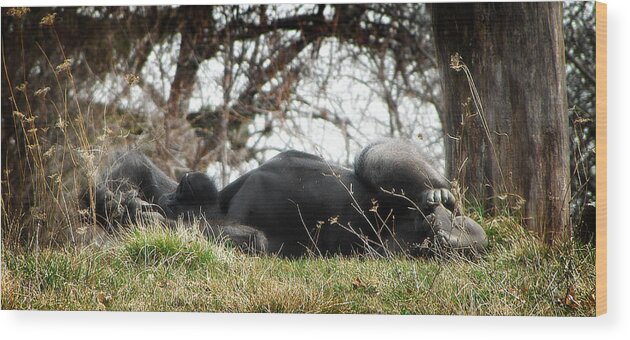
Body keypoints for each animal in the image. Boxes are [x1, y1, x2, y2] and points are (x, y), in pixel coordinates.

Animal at [85, 138, 488, 258]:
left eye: (184, 184)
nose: (185, 184)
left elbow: (141, 169)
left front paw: (116, 199)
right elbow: (252, 241)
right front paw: (123, 208)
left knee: (373, 161)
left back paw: (437, 193)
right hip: (411, 240)